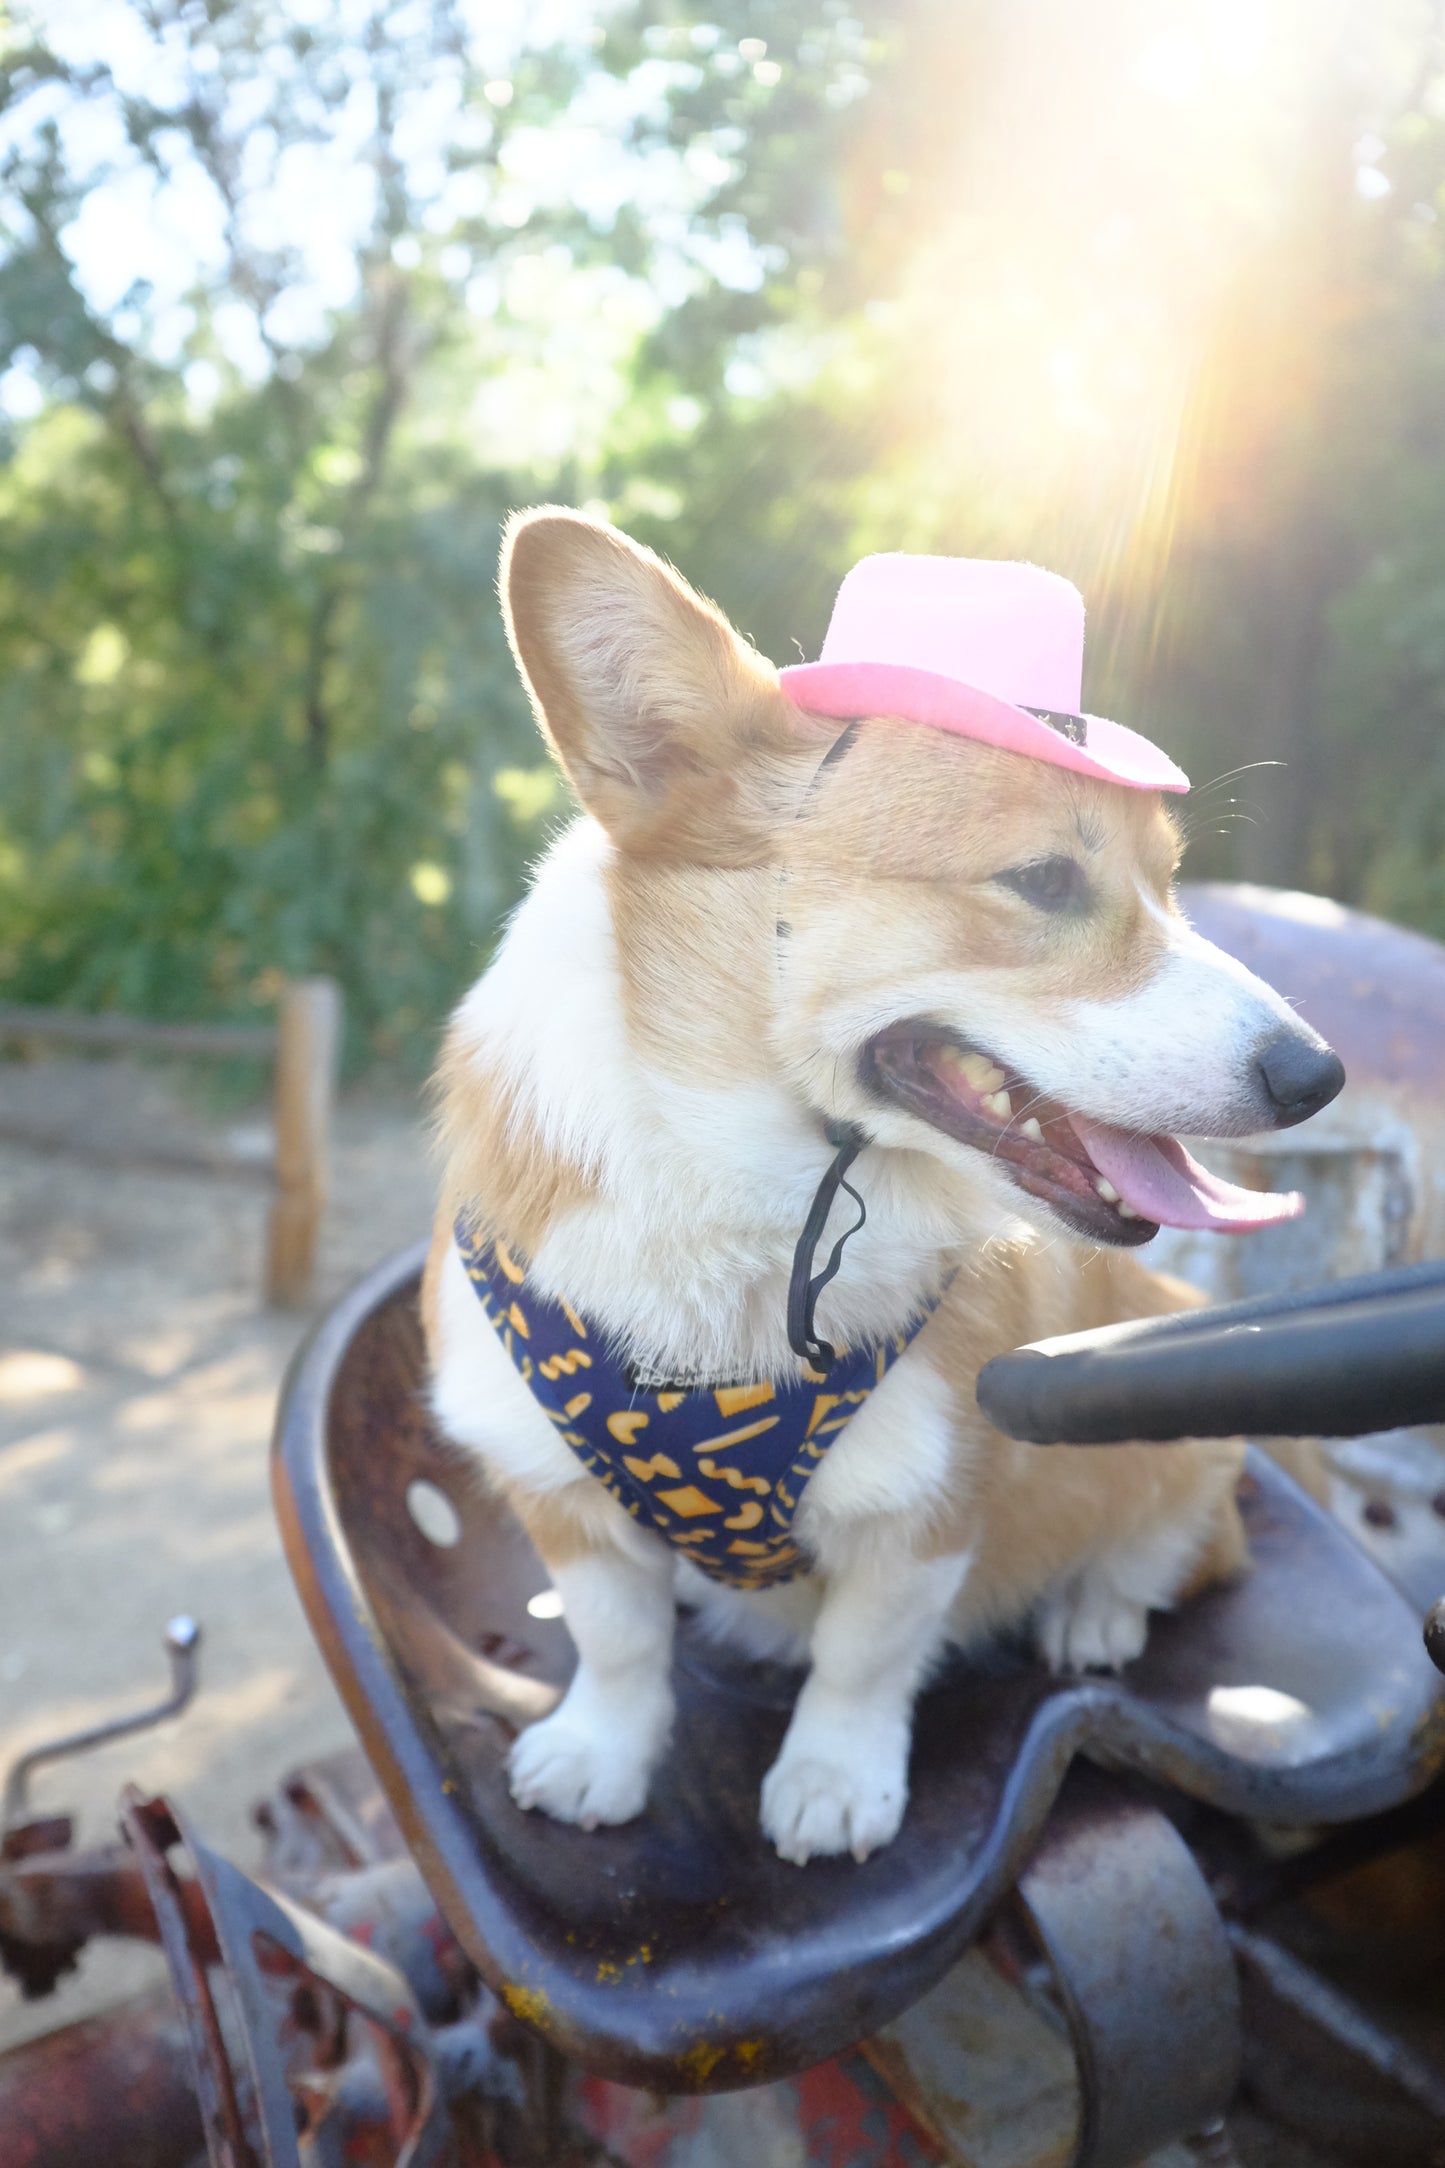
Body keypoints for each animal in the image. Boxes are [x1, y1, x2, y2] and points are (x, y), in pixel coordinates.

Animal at [424, 511, 1351, 1864]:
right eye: (1043, 881)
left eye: (1169, 886)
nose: (1316, 1075)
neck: (749, 1198)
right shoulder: (554, 1490)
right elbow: (616, 1639)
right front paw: (599, 1753)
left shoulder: (930, 1503)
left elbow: (859, 1661)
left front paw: (830, 1783)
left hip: (1187, 1430)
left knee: (1161, 1548)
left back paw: (1092, 1614)